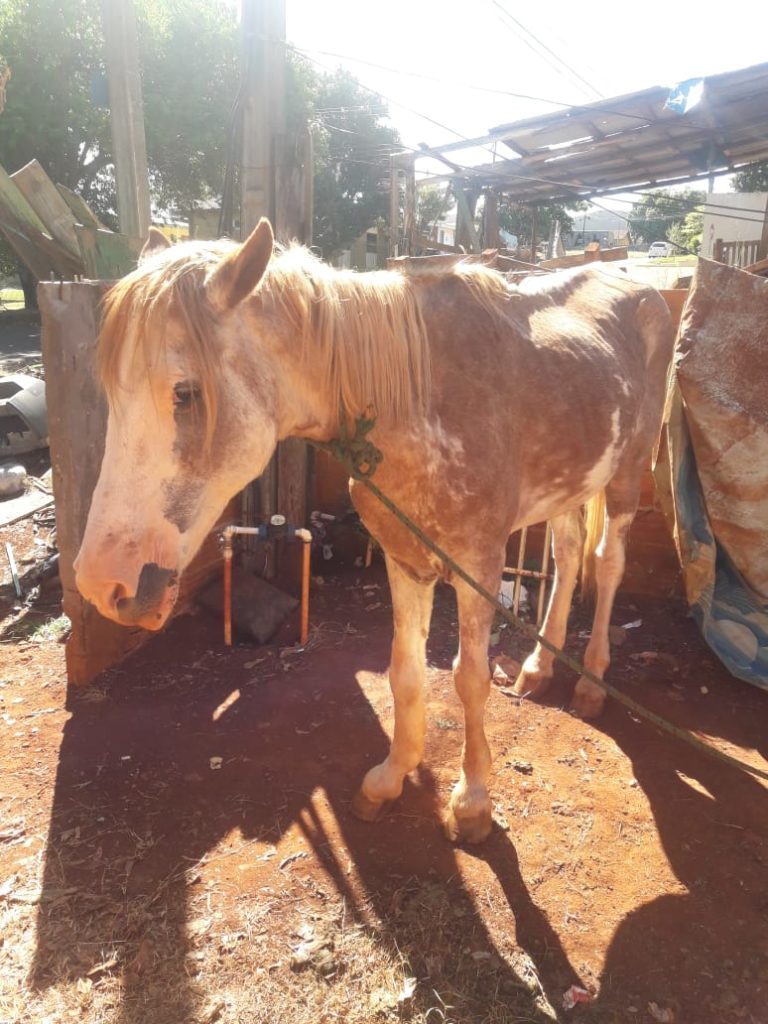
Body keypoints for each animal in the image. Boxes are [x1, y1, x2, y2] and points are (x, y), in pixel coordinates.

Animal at [75, 219, 674, 844]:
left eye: (185, 392)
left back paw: (592, 681)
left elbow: (470, 677)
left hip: (626, 473)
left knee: (607, 563)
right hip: (572, 481)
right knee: (568, 553)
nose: (101, 584)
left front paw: (472, 802)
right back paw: (538, 667)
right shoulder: (403, 557)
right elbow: (405, 672)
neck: (415, 404)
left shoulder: (478, 565)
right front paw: (391, 777)